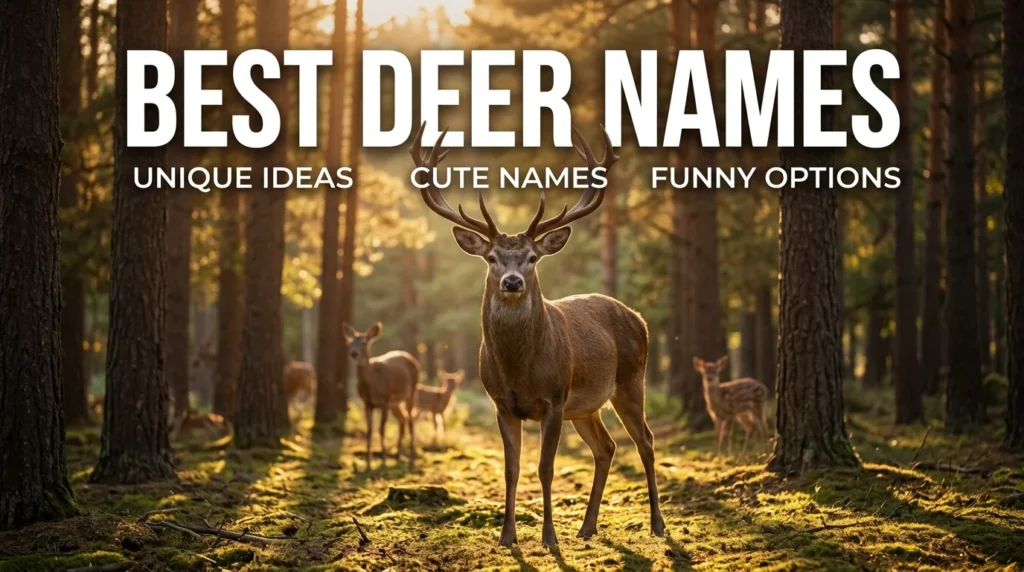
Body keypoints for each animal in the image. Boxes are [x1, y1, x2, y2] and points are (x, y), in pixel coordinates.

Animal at [343, 322, 419, 468]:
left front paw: (383, 459)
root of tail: (412, 358)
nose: (353, 353)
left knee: (410, 419)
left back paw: (412, 456)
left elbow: (382, 429)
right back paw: (398, 454)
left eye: (364, 342)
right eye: (349, 342)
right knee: (403, 418)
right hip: (395, 403)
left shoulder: (385, 400)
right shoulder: (367, 403)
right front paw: (368, 461)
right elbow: (369, 431)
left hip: (412, 391)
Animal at [411, 122, 665, 548]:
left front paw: (548, 537)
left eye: (532, 258)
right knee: (607, 447)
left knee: (644, 440)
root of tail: (641, 319)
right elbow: (511, 469)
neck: (520, 371)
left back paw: (658, 525)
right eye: (491, 258)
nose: (512, 282)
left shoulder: (555, 399)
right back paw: (586, 527)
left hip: (631, 379)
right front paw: (506, 536)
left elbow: (545, 468)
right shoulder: (501, 403)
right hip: (587, 406)